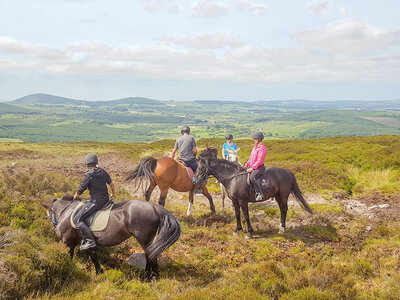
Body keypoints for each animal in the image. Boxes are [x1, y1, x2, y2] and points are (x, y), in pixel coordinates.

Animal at [42, 195, 181, 278]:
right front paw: (99, 271)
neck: (68, 212)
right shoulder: (85, 242)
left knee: (151, 256)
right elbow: (93, 256)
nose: (55, 227)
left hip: (144, 239)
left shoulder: (67, 242)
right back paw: (148, 276)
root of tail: (154, 207)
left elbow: (69, 255)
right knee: (150, 255)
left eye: (49, 213)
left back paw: (151, 277)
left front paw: (68, 268)